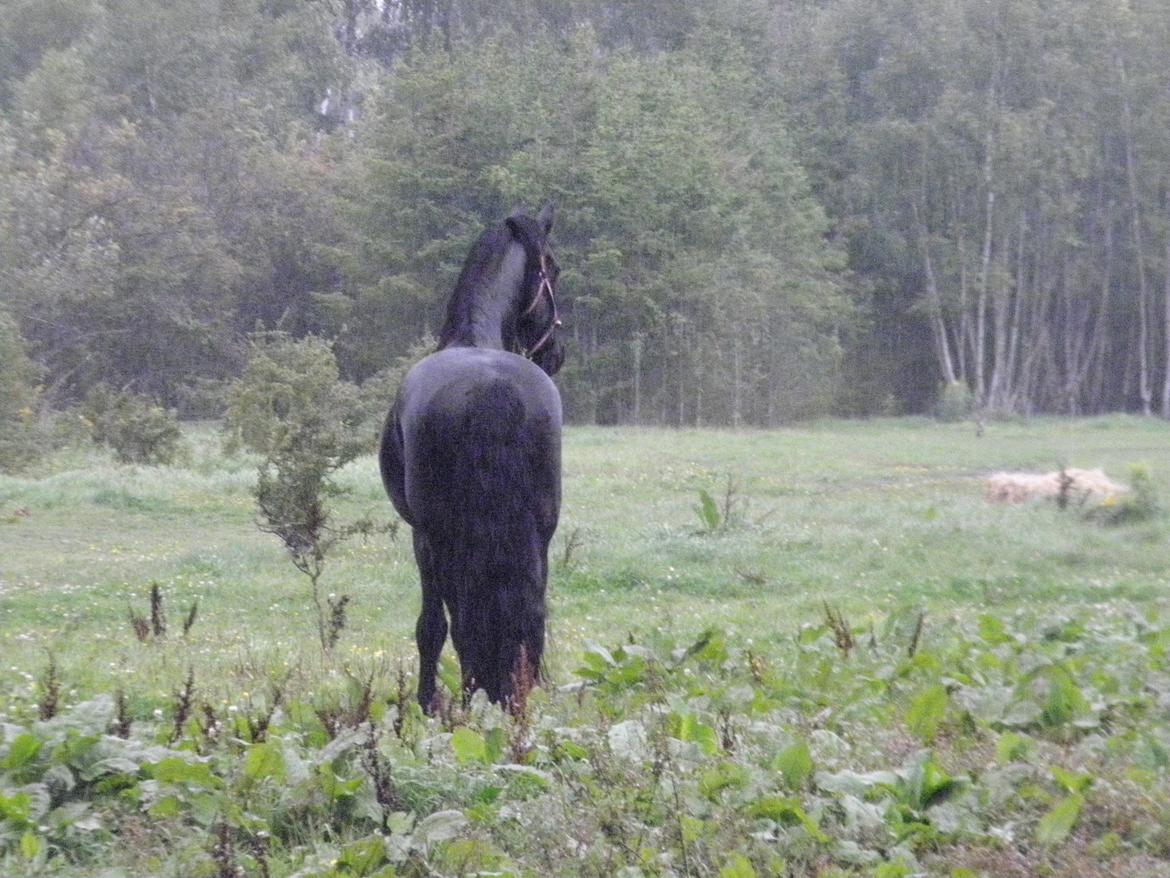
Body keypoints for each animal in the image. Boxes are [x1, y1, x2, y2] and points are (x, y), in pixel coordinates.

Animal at [381, 204, 563, 707]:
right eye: (555, 270)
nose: (557, 353)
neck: (474, 337)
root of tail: (493, 388)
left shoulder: (422, 535)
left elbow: (432, 626)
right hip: (540, 532)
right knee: (530, 619)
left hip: (434, 537)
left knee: (448, 626)